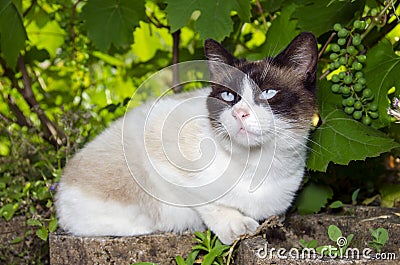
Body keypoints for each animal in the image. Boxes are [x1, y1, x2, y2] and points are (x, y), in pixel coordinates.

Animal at [55, 31, 318, 243]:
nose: (239, 113)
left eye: (268, 93)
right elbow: (207, 201)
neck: (257, 165)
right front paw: (238, 226)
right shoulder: (161, 160)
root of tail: (60, 187)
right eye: (228, 96)